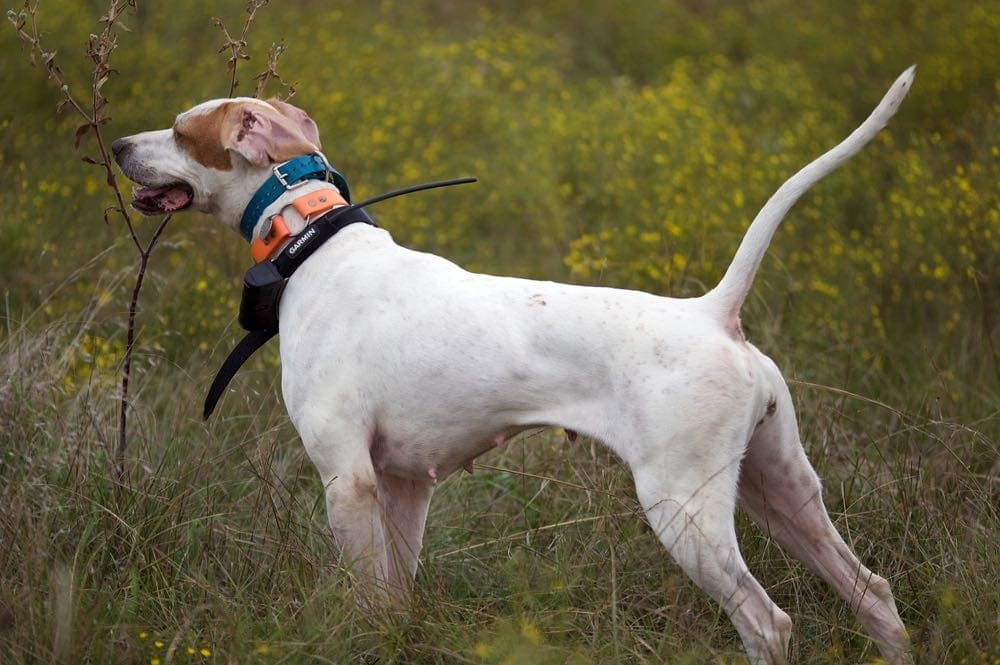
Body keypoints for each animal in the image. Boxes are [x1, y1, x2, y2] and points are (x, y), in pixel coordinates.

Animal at [109, 65, 916, 660]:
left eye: (181, 131)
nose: (115, 144)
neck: (311, 242)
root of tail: (712, 312)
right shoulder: (405, 484)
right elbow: (396, 600)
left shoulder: (347, 480)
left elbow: (367, 601)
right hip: (778, 491)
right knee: (873, 591)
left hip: (684, 508)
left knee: (766, 621)